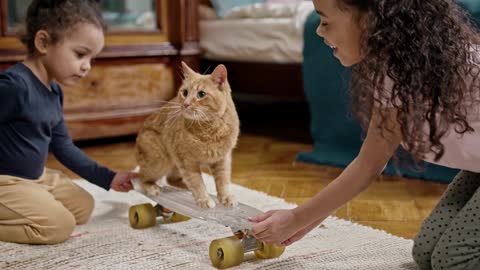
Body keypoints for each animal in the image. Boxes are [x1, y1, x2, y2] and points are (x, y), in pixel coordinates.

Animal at [135, 62, 240, 208]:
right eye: (185, 92)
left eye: (201, 94)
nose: (186, 104)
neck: (209, 129)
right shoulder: (186, 161)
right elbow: (197, 182)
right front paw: (203, 199)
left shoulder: (222, 159)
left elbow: (223, 181)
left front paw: (226, 197)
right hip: (159, 161)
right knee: (141, 177)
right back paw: (151, 188)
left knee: (171, 179)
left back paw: (185, 188)